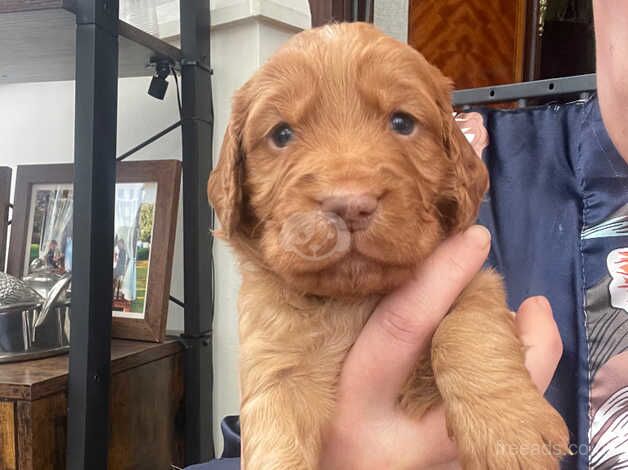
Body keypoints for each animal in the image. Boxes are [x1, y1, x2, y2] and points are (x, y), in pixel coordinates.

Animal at [207, 22, 568, 470]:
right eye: (281, 134)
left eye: (402, 122)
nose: (349, 205)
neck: (353, 300)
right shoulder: (275, 362)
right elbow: (278, 441)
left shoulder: (477, 281)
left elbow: (466, 328)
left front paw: (507, 430)